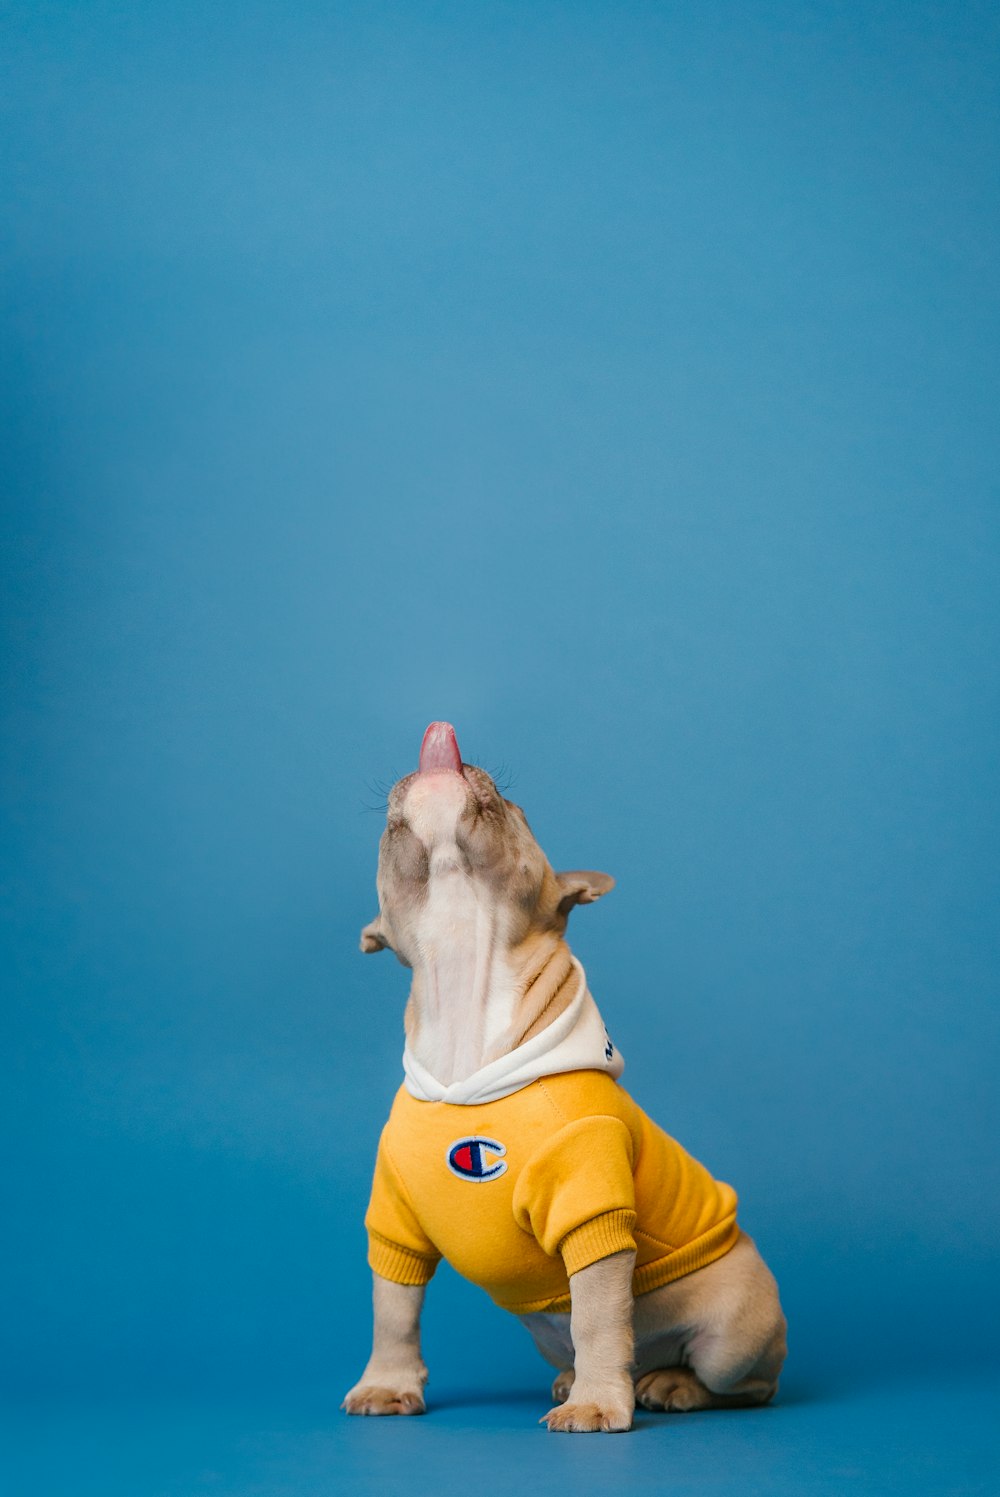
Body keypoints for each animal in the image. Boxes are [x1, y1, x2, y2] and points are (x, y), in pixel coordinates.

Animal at [344, 721, 790, 1425]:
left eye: (517, 808)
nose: (445, 743)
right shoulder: (396, 1223)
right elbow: (393, 1308)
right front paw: (387, 1383)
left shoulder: (592, 1206)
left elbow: (599, 1317)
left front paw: (599, 1404)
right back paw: (581, 1379)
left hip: (735, 1333)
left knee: (743, 1382)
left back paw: (668, 1385)